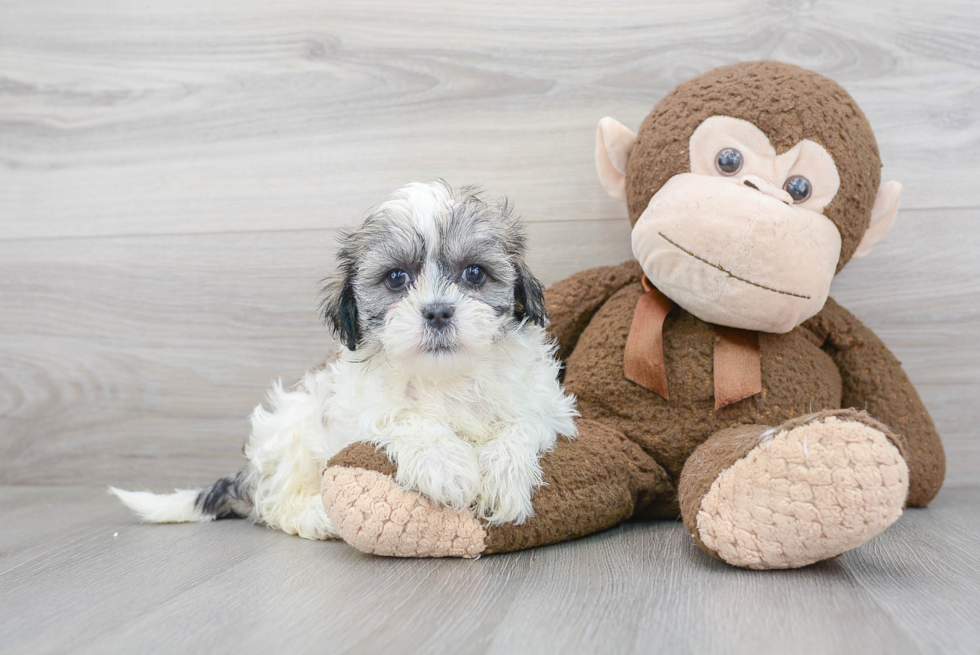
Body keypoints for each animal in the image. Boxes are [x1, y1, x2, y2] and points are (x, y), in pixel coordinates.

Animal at [111, 179, 580, 540]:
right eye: (396, 278)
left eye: (475, 273)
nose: (437, 311)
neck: (443, 376)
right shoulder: (359, 407)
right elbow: (404, 418)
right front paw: (446, 466)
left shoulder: (545, 405)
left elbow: (520, 424)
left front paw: (503, 478)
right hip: (291, 426)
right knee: (277, 505)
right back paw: (319, 516)